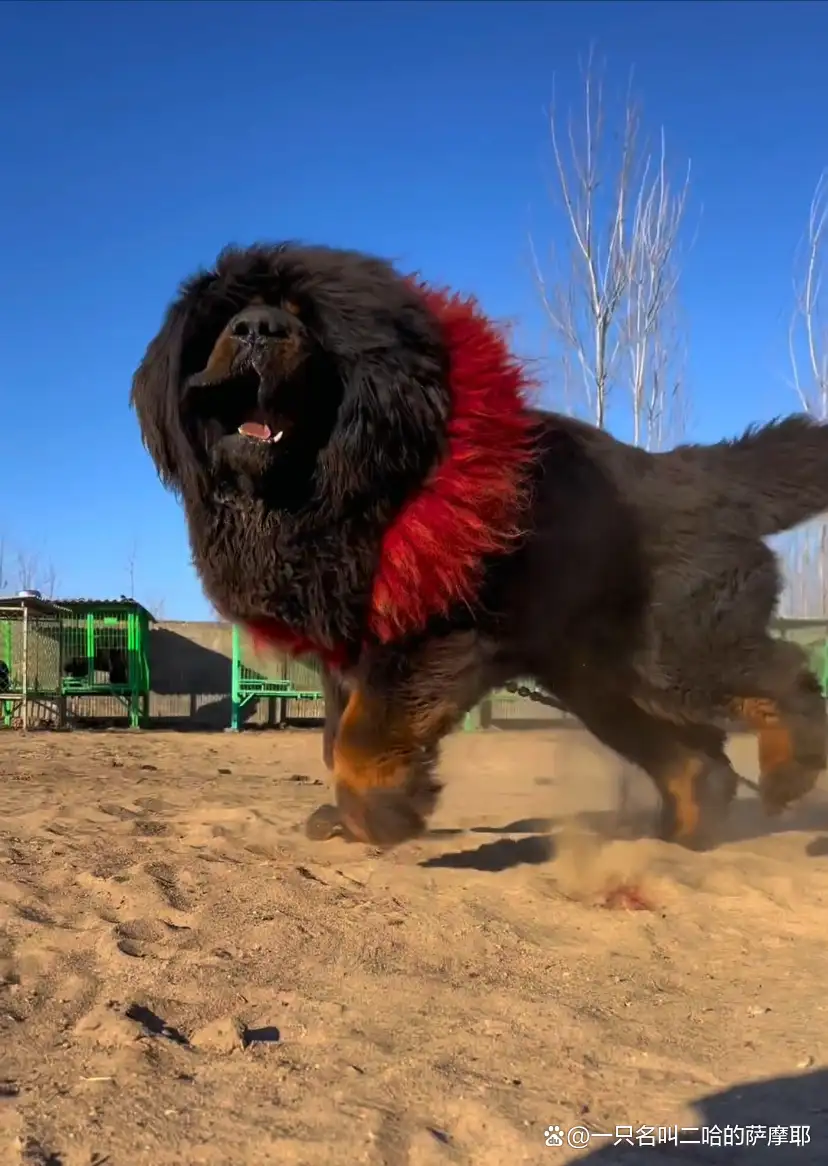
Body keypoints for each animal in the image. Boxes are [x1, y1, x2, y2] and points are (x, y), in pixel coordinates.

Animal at [129, 241, 828, 853]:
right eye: (226, 319)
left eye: (304, 318)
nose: (257, 329)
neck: (335, 490)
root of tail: (690, 471)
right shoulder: (345, 650)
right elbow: (334, 735)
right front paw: (351, 817)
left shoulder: (433, 634)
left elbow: (358, 742)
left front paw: (382, 815)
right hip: (603, 680)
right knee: (696, 759)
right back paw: (682, 836)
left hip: (673, 649)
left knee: (784, 673)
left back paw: (787, 771)